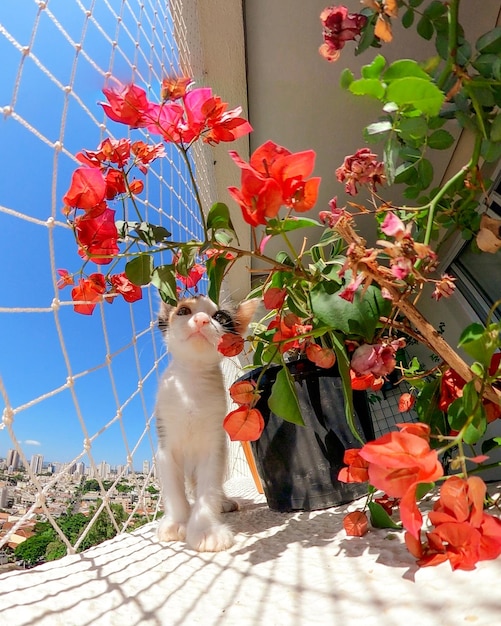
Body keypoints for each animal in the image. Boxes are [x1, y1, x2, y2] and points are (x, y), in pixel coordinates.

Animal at [155, 294, 258, 552]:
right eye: (183, 311)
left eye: (219, 316)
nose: (201, 319)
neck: (190, 387)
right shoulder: (165, 443)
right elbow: (173, 489)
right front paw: (177, 522)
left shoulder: (214, 444)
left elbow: (208, 489)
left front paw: (205, 530)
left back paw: (224, 502)